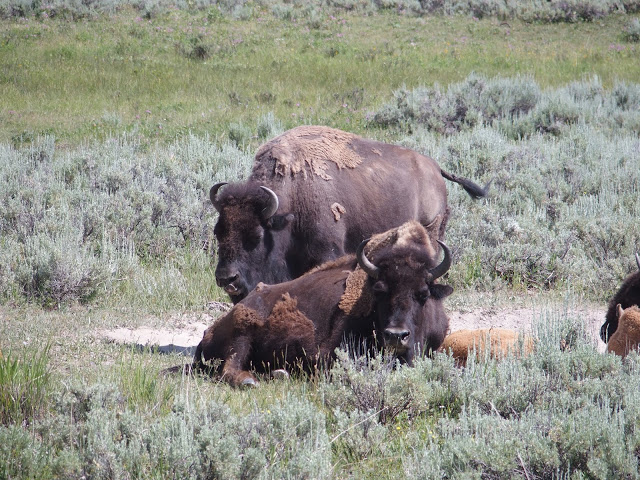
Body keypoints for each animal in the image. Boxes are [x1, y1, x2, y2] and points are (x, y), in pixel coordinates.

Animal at [192, 221, 453, 387]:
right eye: (379, 291)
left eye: (423, 294)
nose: (396, 335)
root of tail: (207, 333)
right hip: (242, 333)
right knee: (229, 368)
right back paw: (251, 381)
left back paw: (279, 373)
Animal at [211, 125, 488, 302]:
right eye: (218, 232)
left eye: (257, 237)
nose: (227, 278)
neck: (293, 192)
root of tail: (436, 168)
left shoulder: (327, 251)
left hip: (431, 233)